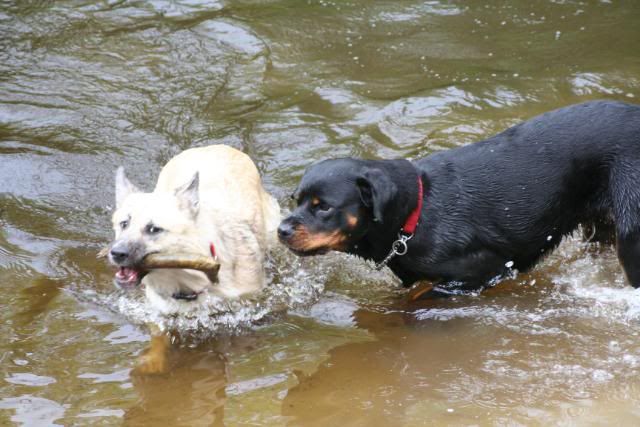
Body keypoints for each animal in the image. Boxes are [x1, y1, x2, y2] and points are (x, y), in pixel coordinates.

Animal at [278, 102, 640, 300]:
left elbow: (425, 295)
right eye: (297, 201)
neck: (415, 214)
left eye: (323, 206)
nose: (281, 229)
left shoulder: (486, 270)